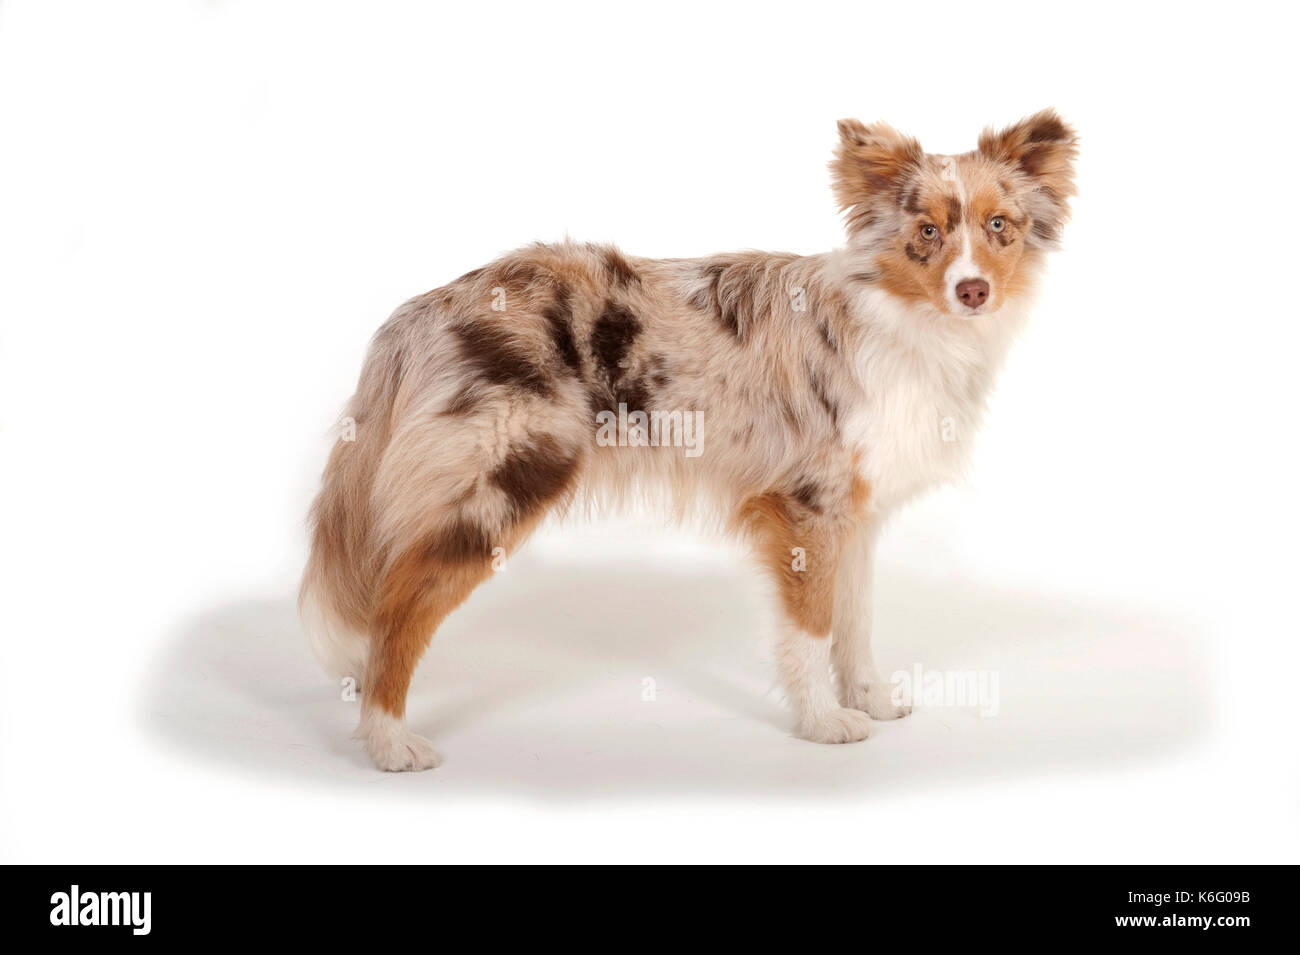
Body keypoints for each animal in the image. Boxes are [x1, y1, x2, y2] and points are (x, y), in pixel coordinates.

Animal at [299, 110, 1071, 769]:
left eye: (999, 226)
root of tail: (423, 311)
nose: (972, 290)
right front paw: (825, 724)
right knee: (399, 603)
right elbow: (810, 629)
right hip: (507, 476)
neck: (907, 322)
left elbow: (854, 623)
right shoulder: (806, 506)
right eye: (928, 232)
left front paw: (871, 699)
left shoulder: (856, 514)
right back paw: (390, 741)